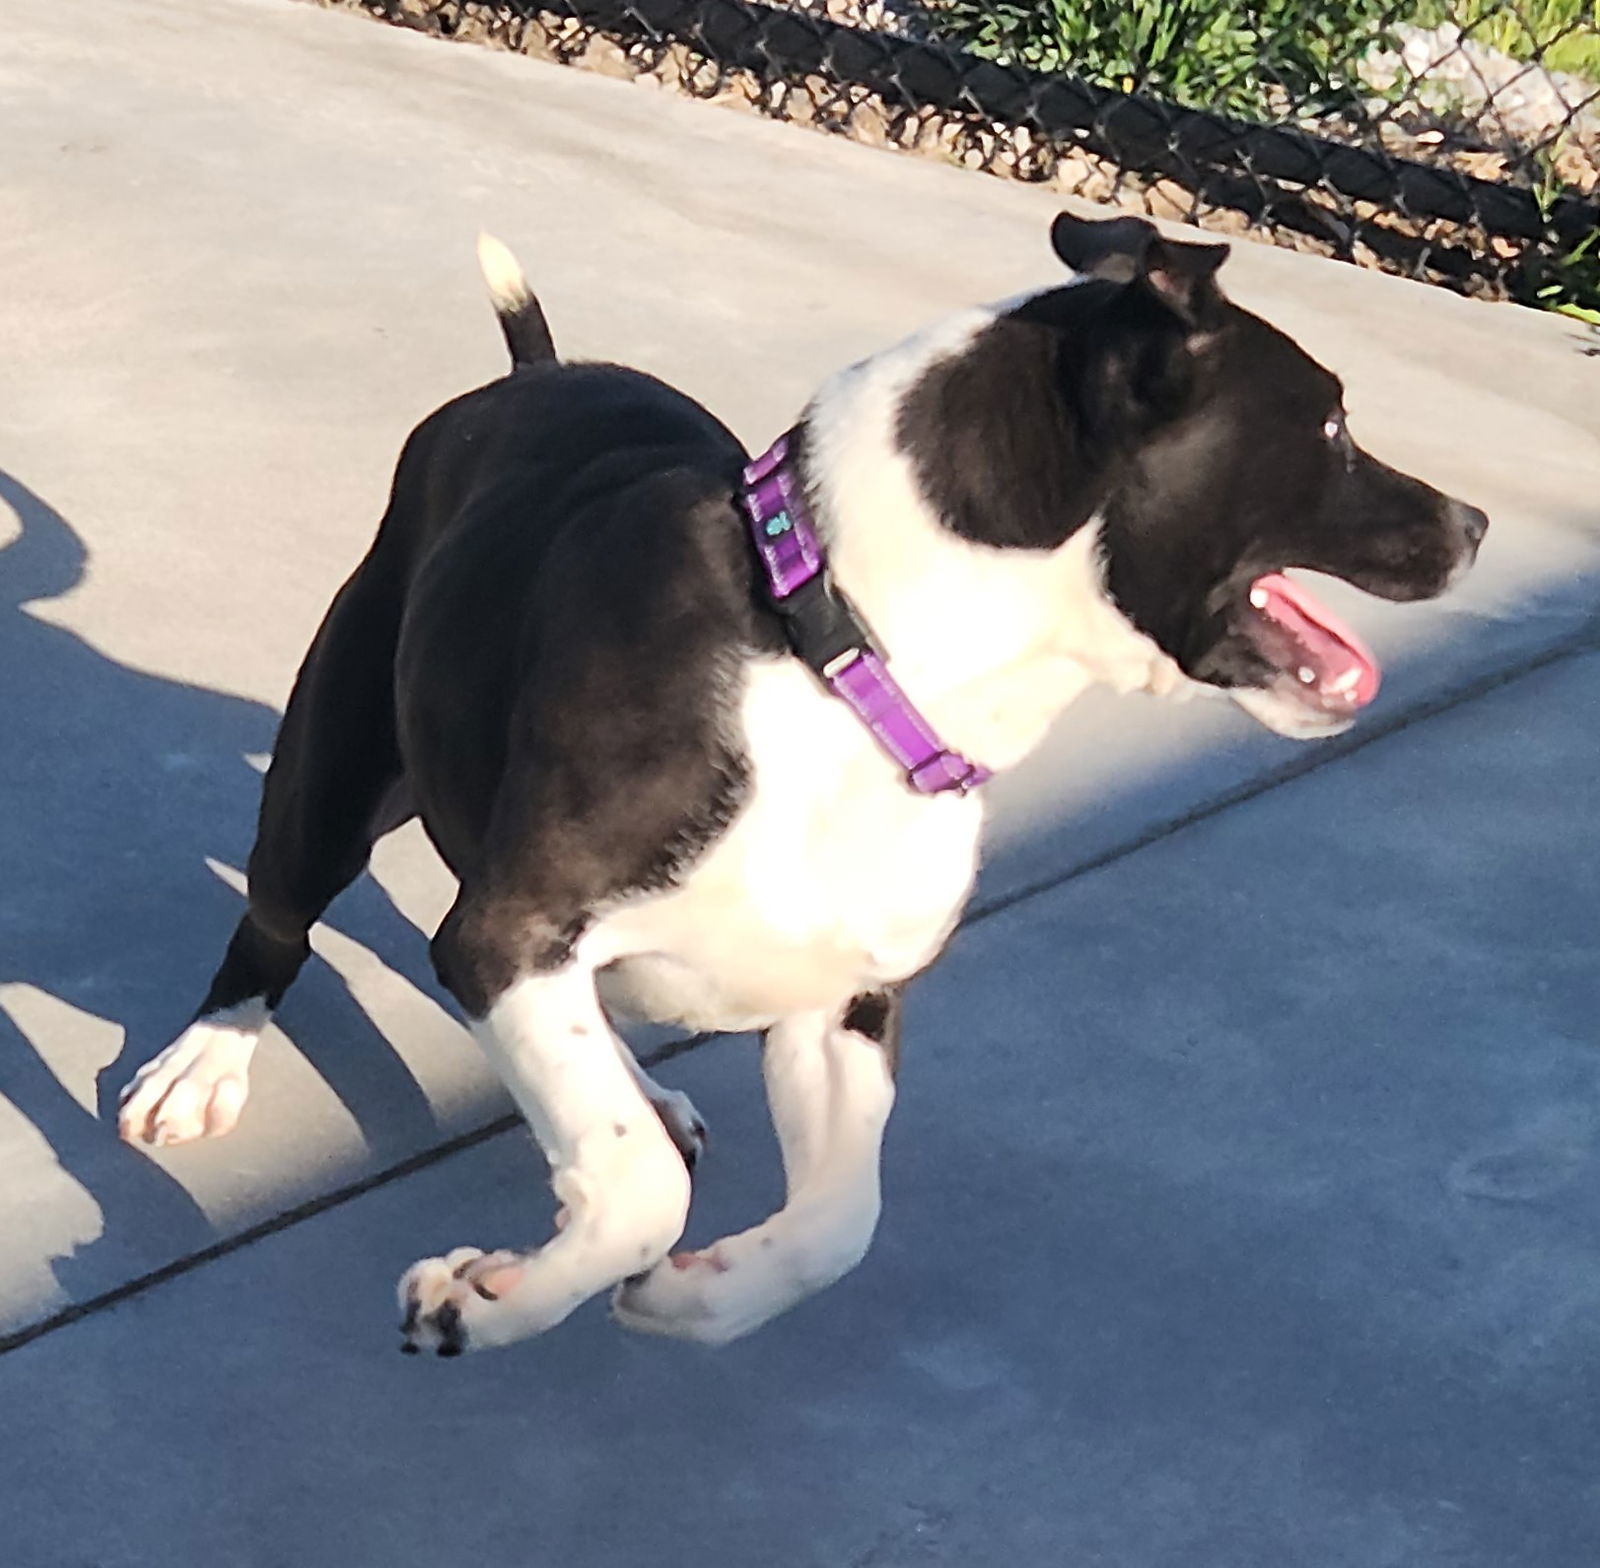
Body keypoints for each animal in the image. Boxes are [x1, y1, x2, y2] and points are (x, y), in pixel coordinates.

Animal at [116, 214, 1484, 1356]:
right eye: (1332, 427)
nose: (1470, 523)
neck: (844, 656)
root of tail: (527, 374)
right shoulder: (504, 926)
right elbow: (636, 1186)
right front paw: (492, 1298)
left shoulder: (840, 1001)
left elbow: (836, 1221)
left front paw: (691, 1295)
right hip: (337, 764)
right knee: (277, 918)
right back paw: (206, 1063)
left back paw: (648, 1089)